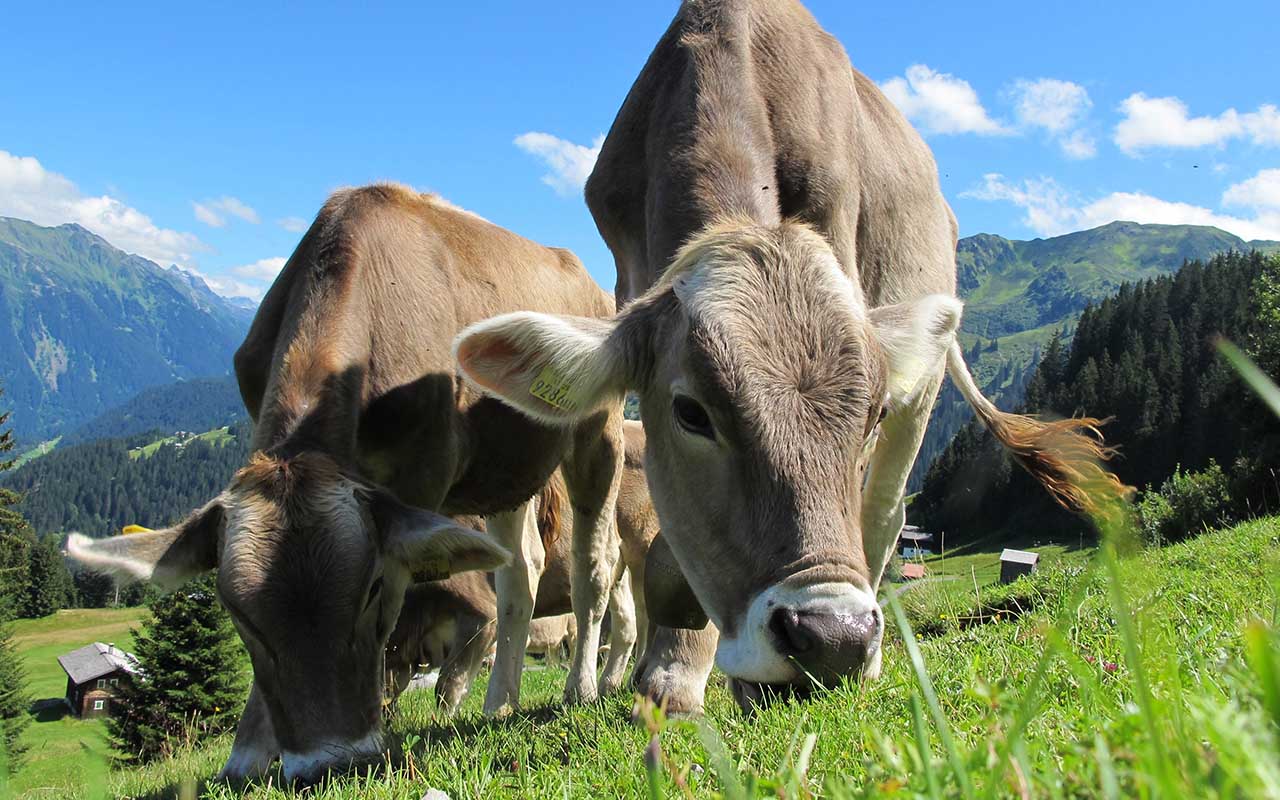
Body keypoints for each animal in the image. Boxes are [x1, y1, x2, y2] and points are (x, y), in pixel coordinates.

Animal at [67, 184, 625, 782]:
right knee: (520, 572)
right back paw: (500, 701)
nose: (329, 764)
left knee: (595, 566)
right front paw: (248, 754)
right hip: (505, 469)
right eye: (237, 613)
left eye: (372, 589)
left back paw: (581, 689)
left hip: (598, 431)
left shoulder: (420, 478)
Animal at [454, 0, 1126, 713]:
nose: (834, 638)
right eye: (691, 413)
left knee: (886, 510)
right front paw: (671, 672)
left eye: (870, 414)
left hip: (923, 384)